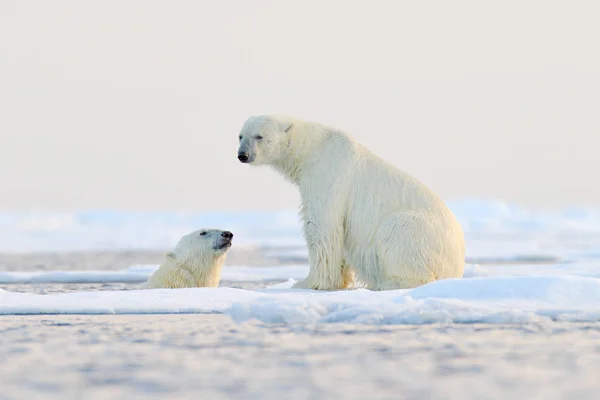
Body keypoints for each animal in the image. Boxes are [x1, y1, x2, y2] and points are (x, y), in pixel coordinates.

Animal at [237, 114, 466, 292]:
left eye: (259, 136)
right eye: (240, 136)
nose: (243, 155)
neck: (313, 149)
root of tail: (457, 267)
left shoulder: (327, 173)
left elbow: (322, 226)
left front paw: (307, 282)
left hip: (419, 235)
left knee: (395, 232)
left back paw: (387, 283)